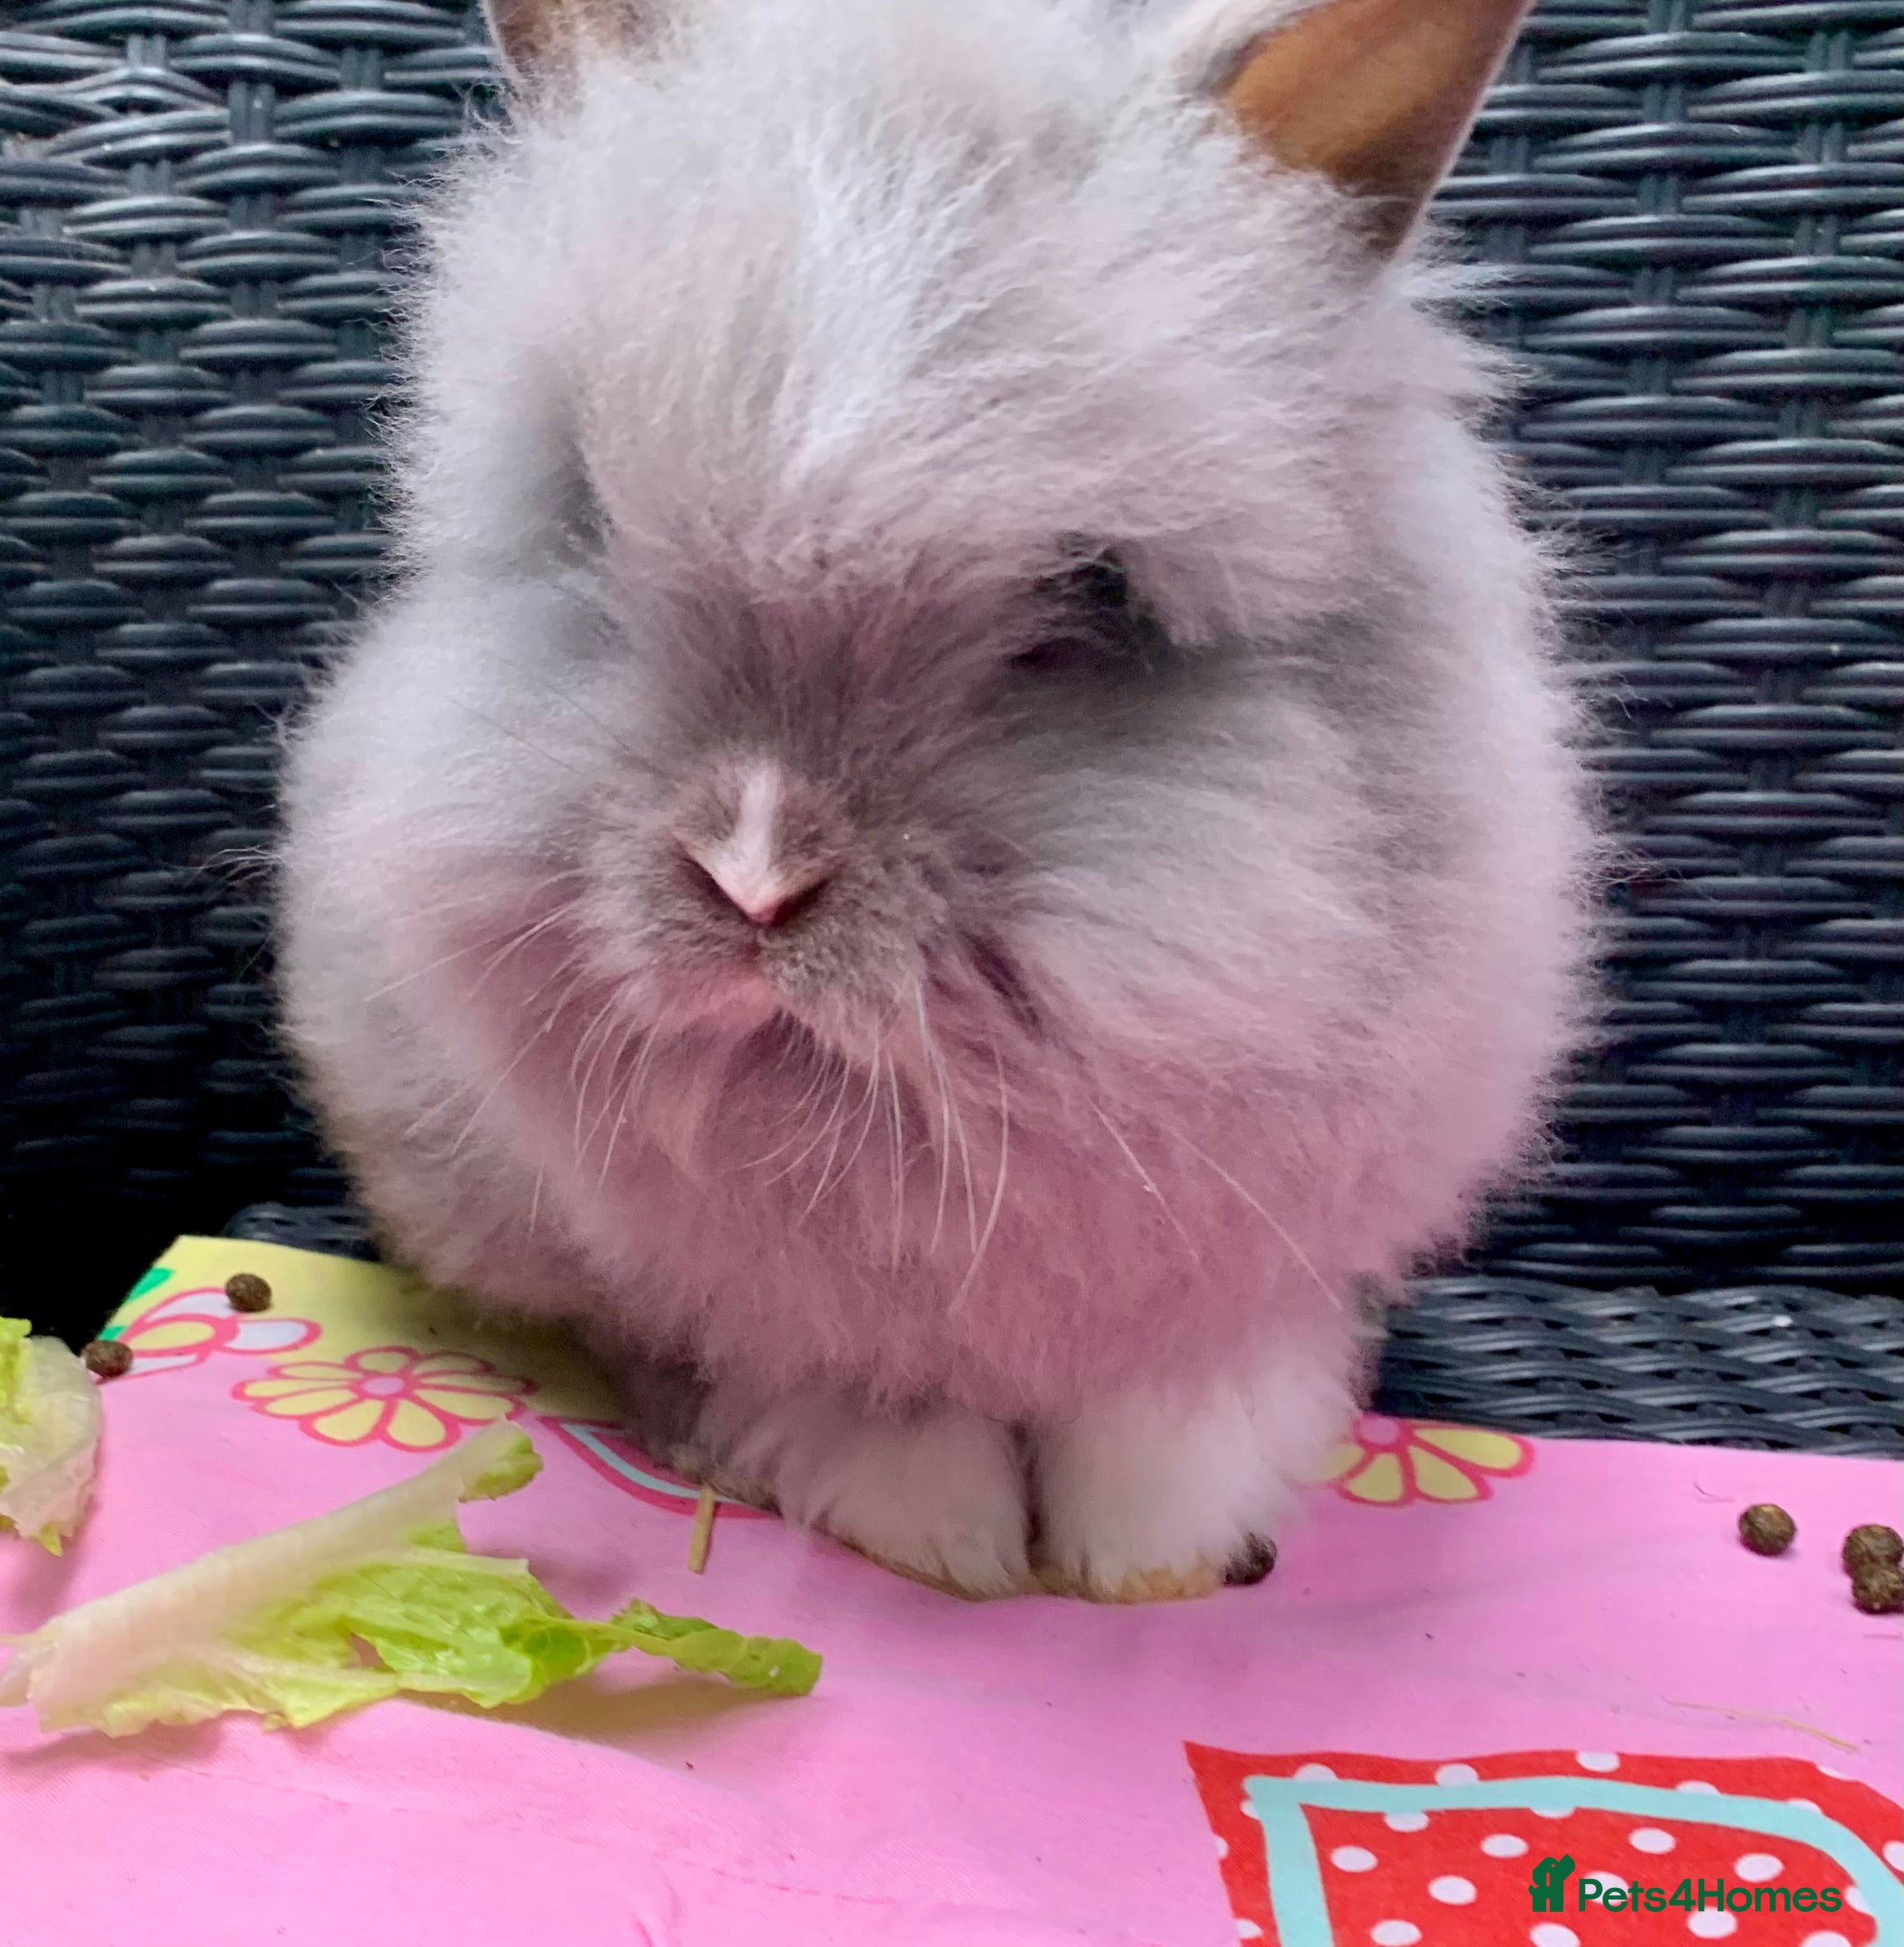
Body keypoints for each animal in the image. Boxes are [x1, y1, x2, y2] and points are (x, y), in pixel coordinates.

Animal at [277, 0, 1596, 1602]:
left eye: (1091, 596)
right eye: (590, 522)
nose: (751, 875)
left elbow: (1171, 1410)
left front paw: (1147, 1561)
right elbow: (855, 1400)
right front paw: (944, 1543)